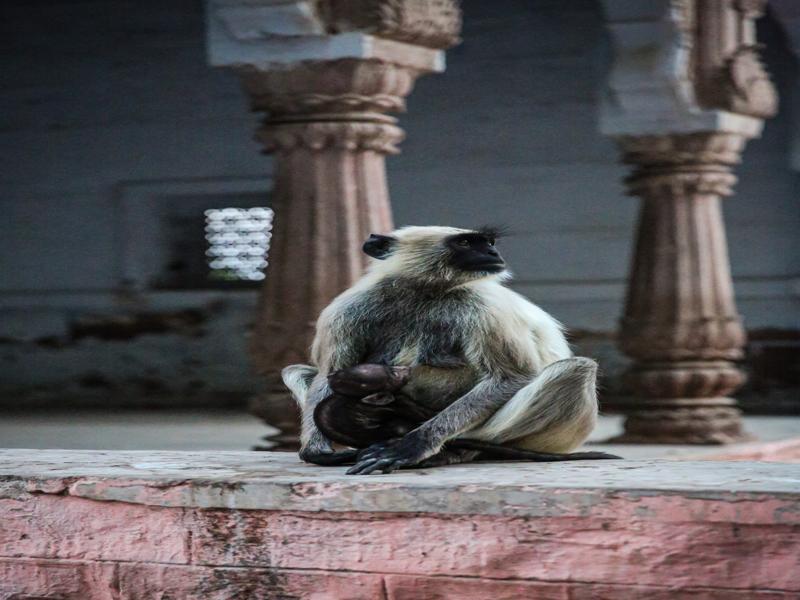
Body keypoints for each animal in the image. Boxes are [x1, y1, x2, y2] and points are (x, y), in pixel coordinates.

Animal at [282, 225, 620, 474]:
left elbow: (510, 377)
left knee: (575, 369)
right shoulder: (346, 310)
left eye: (488, 242)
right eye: (467, 242)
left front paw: (413, 446)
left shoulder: (484, 308)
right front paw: (316, 450)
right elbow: (327, 376)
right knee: (296, 371)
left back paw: (454, 451)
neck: (423, 291)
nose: (493, 252)